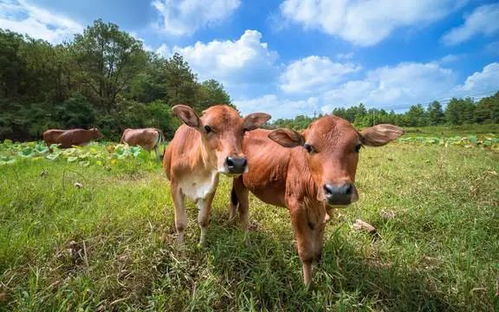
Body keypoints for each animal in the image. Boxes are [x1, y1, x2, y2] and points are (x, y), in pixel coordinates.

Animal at [164, 105, 272, 246]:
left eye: (244, 129)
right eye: (207, 128)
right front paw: (180, 248)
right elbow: (180, 223)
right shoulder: (175, 187)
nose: (237, 163)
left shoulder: (210, 188)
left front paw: (201, 244)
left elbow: (203, 220)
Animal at [232, 116, 404, 286]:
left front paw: (319, 274)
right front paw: (307, 286)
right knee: (244, 211)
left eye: (357, 146)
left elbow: (317, 251)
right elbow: (306, 252)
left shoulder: (321, 215)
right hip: (240, 181)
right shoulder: (296, 207)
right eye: (309, 147)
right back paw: (246, 241)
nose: (338, 191)